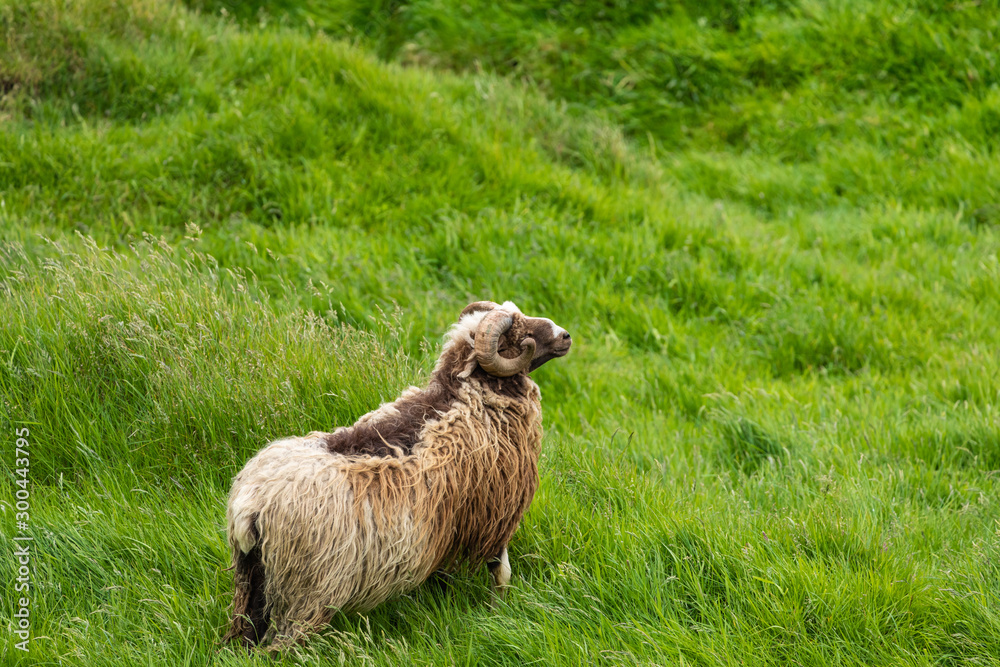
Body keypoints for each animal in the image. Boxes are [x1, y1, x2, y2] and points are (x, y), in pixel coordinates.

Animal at [222, 300, 572, 648]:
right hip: (305, 591)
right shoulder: (495, 513)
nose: (565, 336)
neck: (470, 397)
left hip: (251, 581)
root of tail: (251, 509)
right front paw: (498, 610)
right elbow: (501, 572)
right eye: (520, 333)